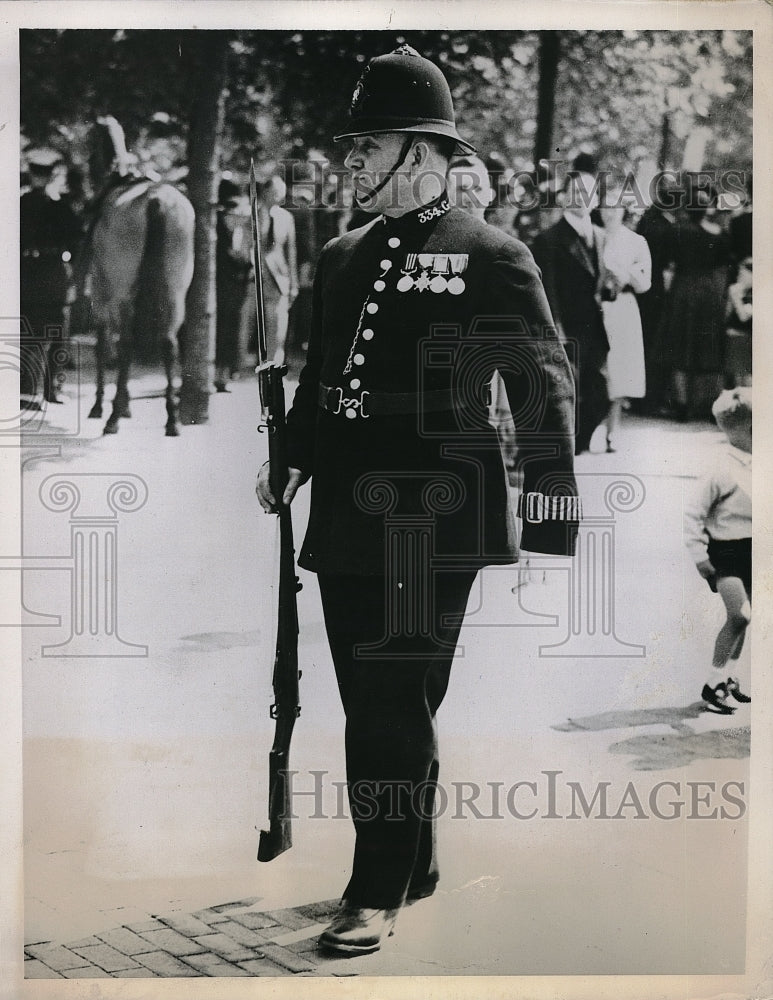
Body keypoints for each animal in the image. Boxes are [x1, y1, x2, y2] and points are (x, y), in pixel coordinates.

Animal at [82, 116, 195, 434]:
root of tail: (156, 199)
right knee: (169, 342)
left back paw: (113, 417)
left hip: (121, 292)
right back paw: (171, 418)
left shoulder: (100, 292)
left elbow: (103, 344)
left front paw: (101, 405)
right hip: (175, 292)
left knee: (126, 343)